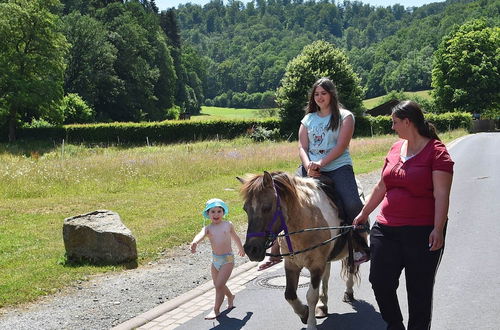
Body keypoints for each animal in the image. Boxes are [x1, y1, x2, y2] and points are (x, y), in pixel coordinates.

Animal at [236, 171, 370, 328]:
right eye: (245, 209)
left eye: (267, 207)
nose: (251, 249)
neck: (306, 222)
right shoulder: (291, 265)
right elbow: (289, 295)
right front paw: (304, 313)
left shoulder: (316, 266)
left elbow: (311, 295)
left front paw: (311, 324)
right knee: (326, 277)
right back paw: (322, 305)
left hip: (352, 250)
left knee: (351, 268)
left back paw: (348, 292)